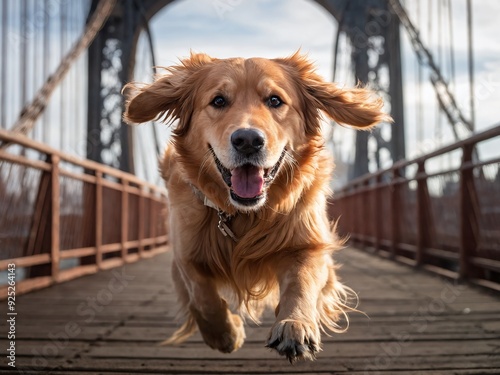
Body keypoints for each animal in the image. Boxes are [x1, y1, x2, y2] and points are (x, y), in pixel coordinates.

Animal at [123, 51, 388, 362]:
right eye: (218, 101)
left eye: (275, 100)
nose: (248, 140)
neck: (245, 214)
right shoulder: (185, 251)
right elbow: (202, 296)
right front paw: (226, 334)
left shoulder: (309, 244)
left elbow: (302, 283)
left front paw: (295, 326)